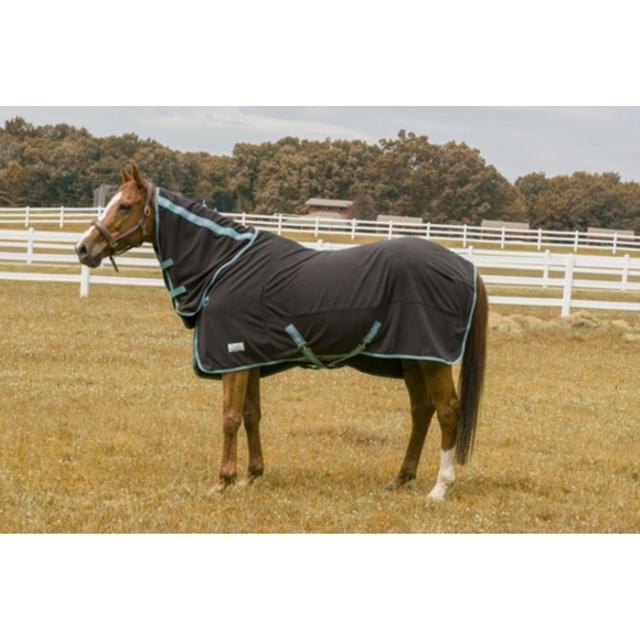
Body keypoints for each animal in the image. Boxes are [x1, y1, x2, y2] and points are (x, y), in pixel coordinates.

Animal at [76, 164, 488, 500]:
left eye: (125, 206)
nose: (83, 248)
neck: (223, 265)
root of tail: (465, 267)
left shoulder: (232, 358)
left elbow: (230, 417)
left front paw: (223, 480)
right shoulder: (249, 358)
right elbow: (252, 414)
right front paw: (251, 476)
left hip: (431, 360)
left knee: (447, 412)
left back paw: (440, 487)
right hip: (412, 359)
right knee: (421, 411)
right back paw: (401, 479)